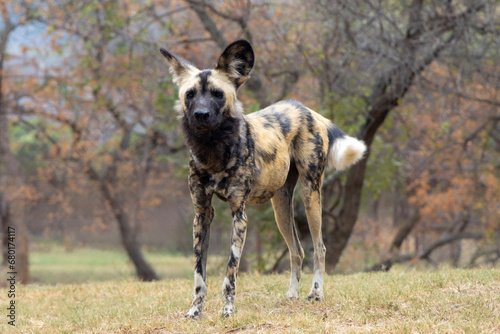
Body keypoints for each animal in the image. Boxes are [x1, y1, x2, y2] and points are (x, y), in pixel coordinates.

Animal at [160, 39, 368, 318]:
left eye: (217, 94)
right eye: (190, 94)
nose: (201, 114)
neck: (213, 149)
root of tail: (308, 110)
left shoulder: (239, 214)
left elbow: (230, 270)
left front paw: (228, 309)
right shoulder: (201, 214)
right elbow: (199, 274)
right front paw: (195, 311)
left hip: (310, 194)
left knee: (319, 248)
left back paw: (315, 293)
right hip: (280, 205)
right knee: (297, 251)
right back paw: (292, 295)